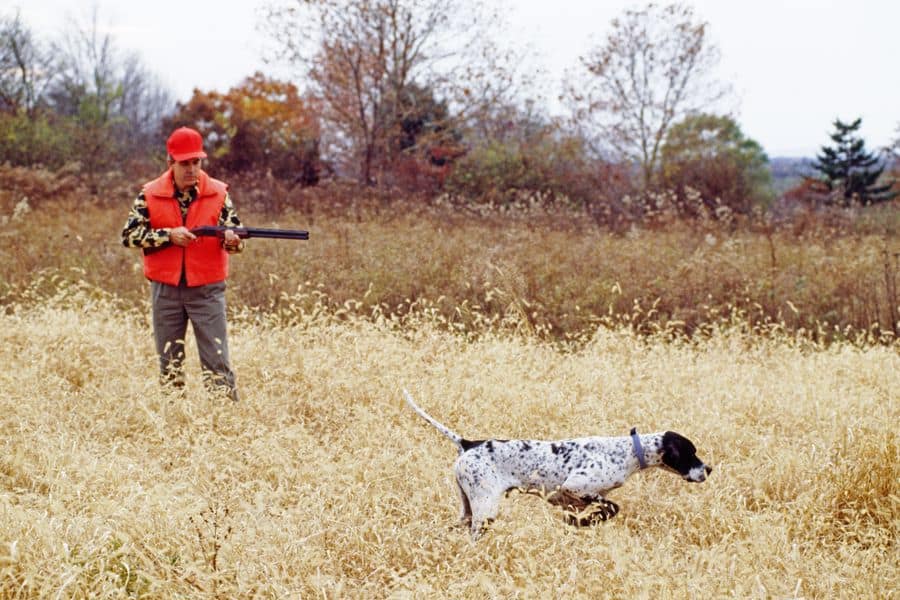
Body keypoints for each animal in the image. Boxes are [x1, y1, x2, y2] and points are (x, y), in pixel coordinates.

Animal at [406, 390, 712, 540]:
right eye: (691, 452)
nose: (708, 469)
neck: (628, 452)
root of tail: (469, 443)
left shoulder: (567, 499)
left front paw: (579, 522)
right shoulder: (575, 487)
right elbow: (611, 507)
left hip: (468, 510)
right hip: (485, 509)